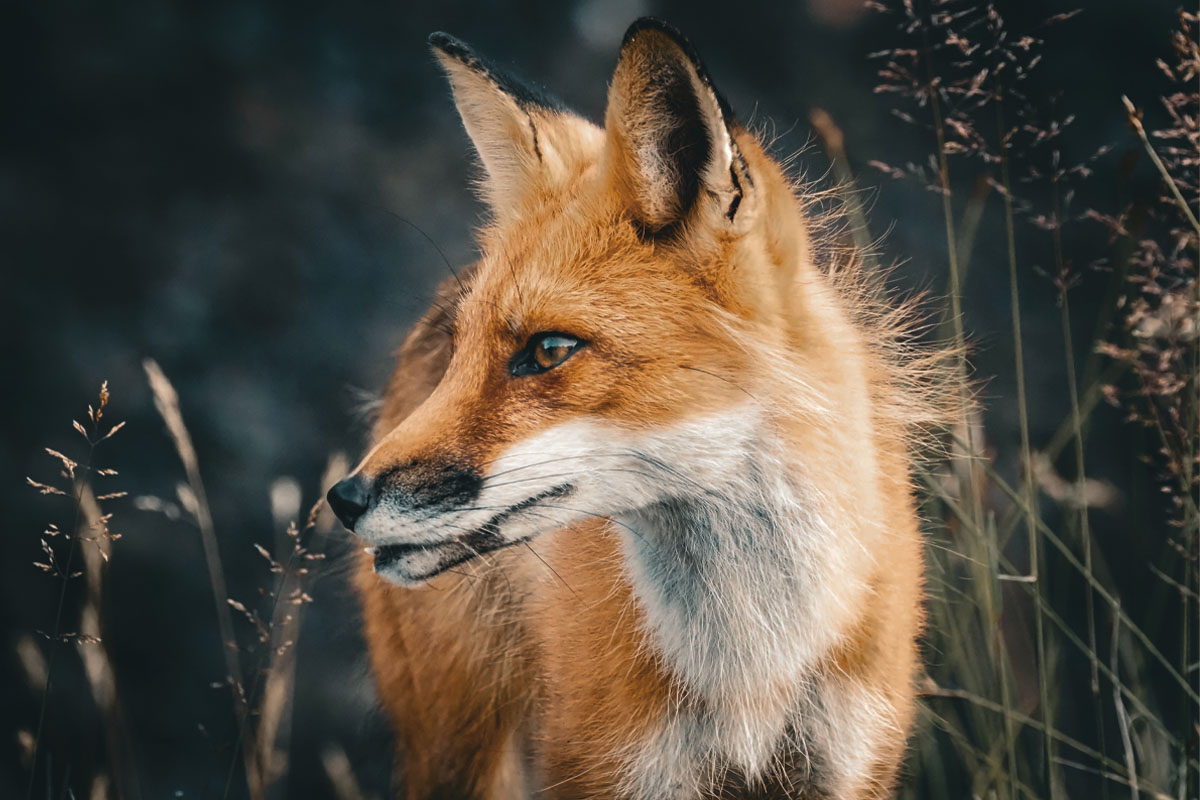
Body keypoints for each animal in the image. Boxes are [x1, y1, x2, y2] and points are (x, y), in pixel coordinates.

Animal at [327, 18, 950, 800]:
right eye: (461, 351)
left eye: (548, 350)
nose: (342, 500)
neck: (752, 672)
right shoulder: (607, 768)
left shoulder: (848, 766)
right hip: (458, 754)